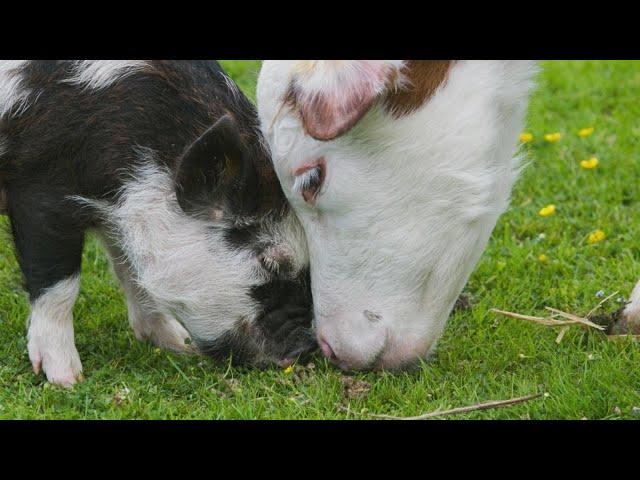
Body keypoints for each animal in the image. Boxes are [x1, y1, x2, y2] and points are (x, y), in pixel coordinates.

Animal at [0, 60, 316, 388]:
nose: (307, 348)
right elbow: (58, 284)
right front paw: (67, 380)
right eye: (268, 262)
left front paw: (179, 345)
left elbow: (131, 272)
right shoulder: (39, 189)